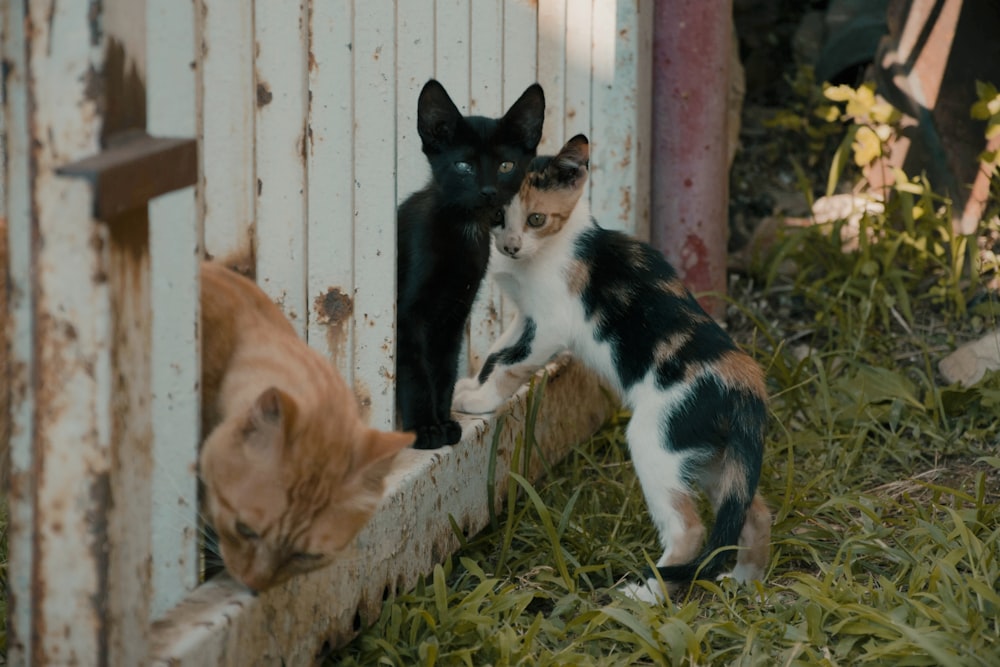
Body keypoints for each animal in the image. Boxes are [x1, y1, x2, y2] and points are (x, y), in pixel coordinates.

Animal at [394, 81, 544, 452]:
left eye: (505, 165)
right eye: (463, 166)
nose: (488, 191)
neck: (465, 229)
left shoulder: (454, 315)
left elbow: (444, 369)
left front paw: (445, 421)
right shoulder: (407, 315)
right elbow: (416, 370)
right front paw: (425, 429)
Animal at [454, 136, 772, 600]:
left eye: (536, 219)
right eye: (497, 216)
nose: (510, 246)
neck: (553, 247)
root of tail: (746, 381)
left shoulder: (551, 325)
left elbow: (512, 364)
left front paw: (480, 401)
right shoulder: (524, 317)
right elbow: (498, 351)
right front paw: (470, 387)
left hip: (656, 440)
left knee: (689, 530)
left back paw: (648, 595)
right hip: (717, 458)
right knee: (752, 511)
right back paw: (747, 583)